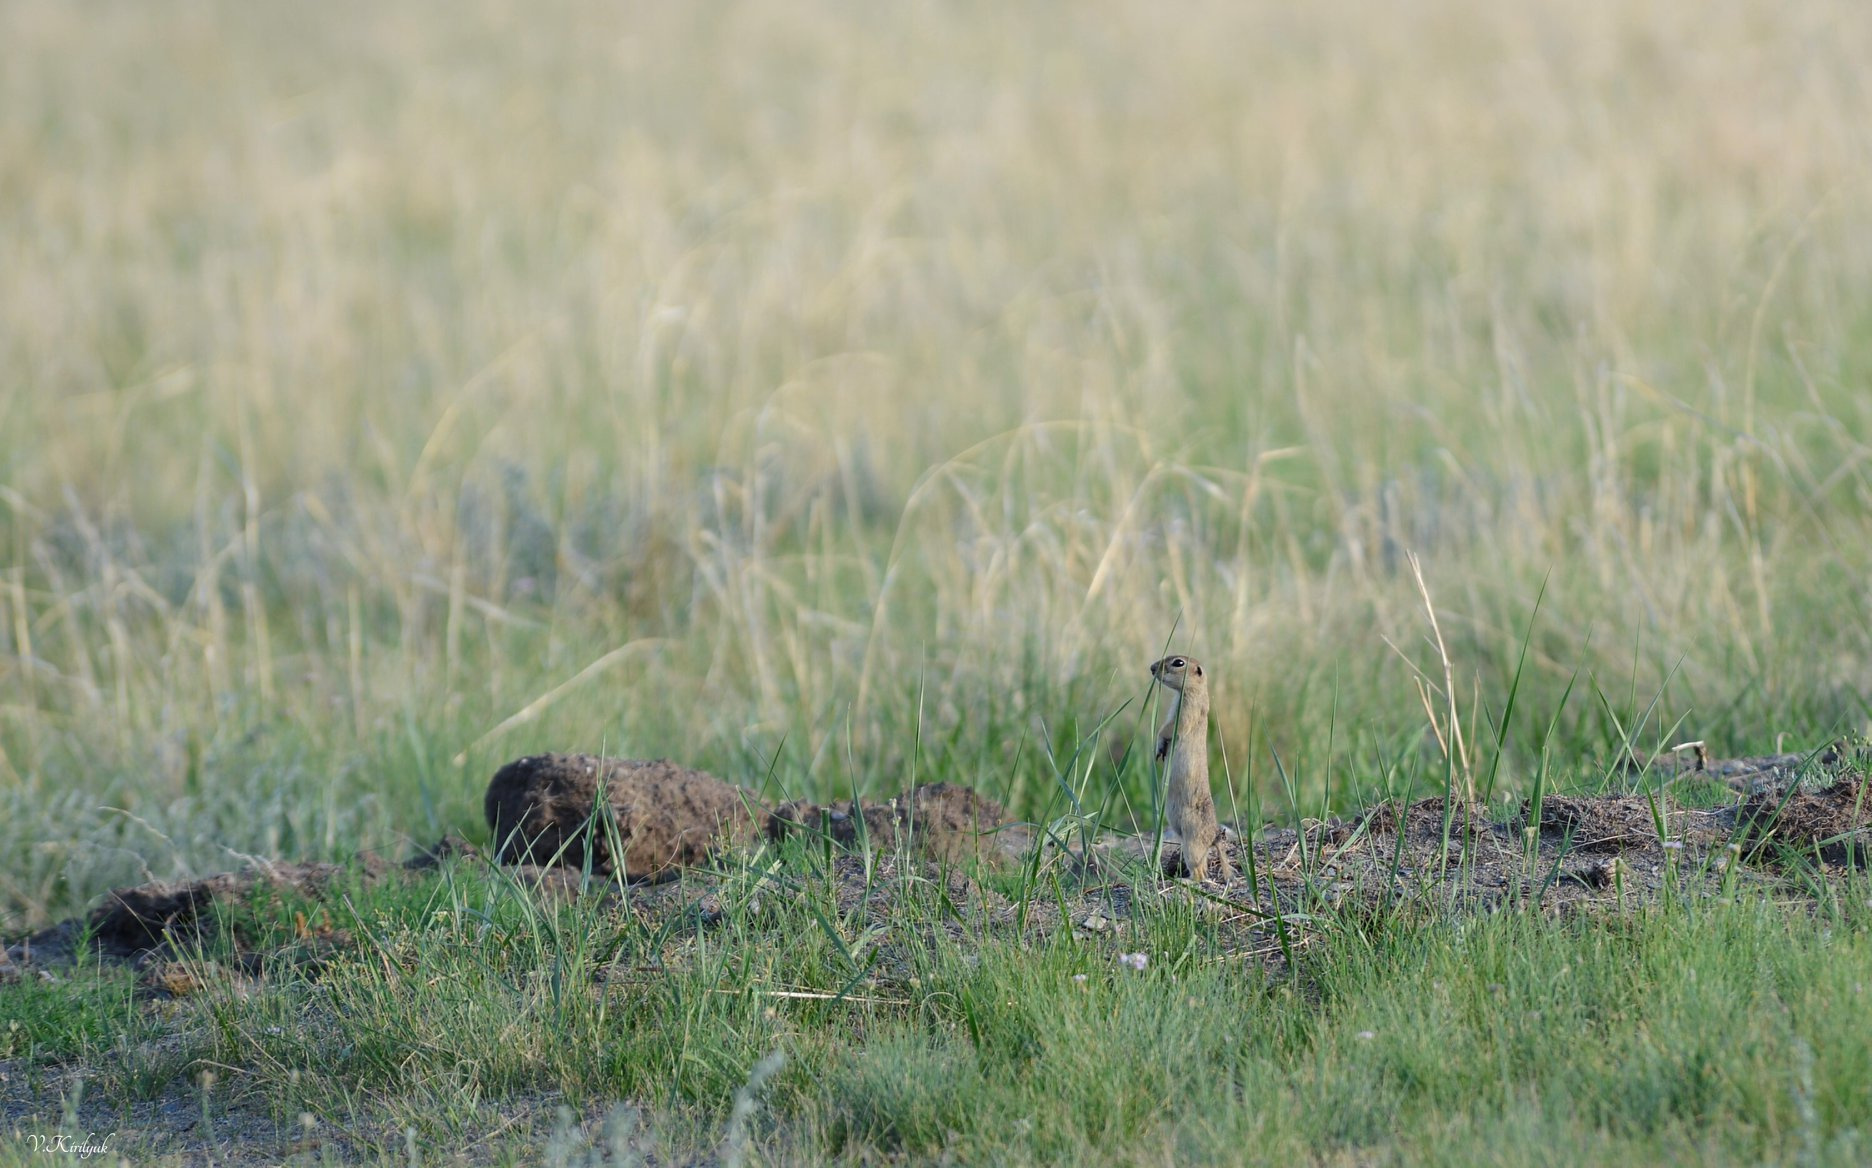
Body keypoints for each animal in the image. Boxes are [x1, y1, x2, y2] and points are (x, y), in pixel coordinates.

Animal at [1153, 651, 1228, 879]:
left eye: (1178, 663)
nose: (1152, 668)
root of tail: (1214, 838)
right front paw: (1159, 751)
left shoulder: (1187, 710)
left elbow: (1169, 728)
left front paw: (1159, 744)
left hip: (1191, 839)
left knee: (1201, 873)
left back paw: (1186, 881)